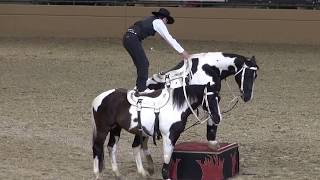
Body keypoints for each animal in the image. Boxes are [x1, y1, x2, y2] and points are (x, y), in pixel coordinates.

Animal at [90, 83, 220, 179]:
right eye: (209, 98)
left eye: (219, 98)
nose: (217, 118)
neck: (175, 107)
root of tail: (98, 99)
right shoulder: (169, 136)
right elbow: (167, 156)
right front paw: (166, 176)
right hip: (103, 129)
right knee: (97, 147)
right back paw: (97, 174)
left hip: (116, 129)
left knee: (111, 147)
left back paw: (118, 174)